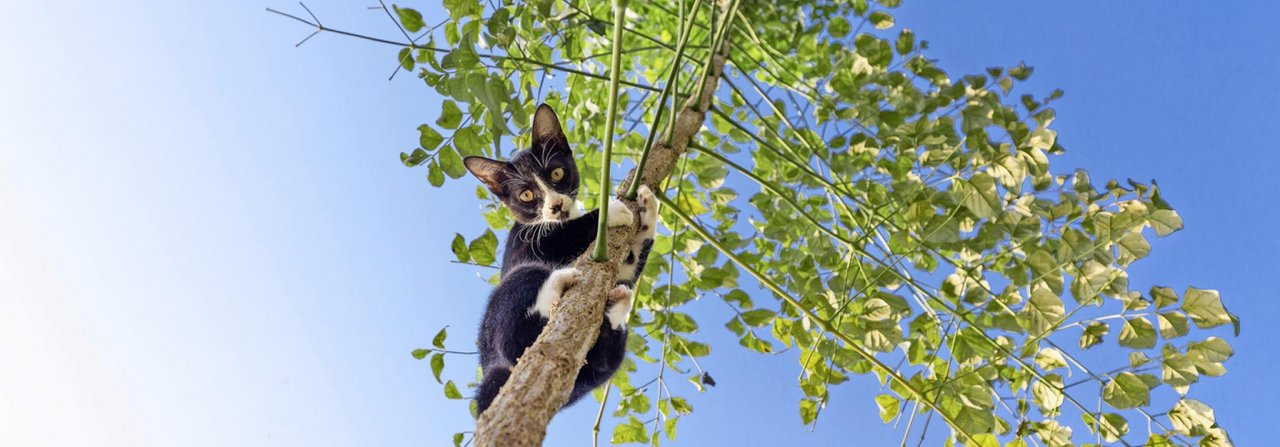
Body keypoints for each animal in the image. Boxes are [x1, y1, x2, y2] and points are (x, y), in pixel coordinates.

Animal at [463, 103, 660, 414]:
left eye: (556, 173)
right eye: (526, 195)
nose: (555, 205)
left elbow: (629, 267)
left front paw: (647, 206)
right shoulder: (523, 244)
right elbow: (561, 235)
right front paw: (610, 212)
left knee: (604, 357)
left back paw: (618, 303)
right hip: (508, 302)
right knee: (520, 336)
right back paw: (559, 281)